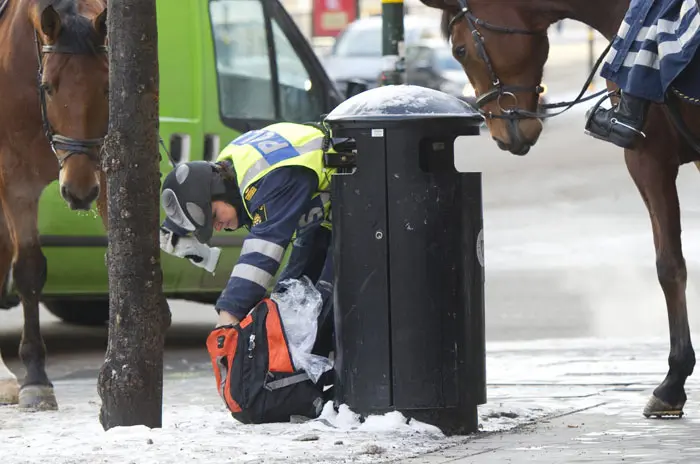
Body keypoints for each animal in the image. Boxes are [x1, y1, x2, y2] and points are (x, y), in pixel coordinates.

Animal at [0, 0, 108, 412]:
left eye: (107, 87)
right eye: (47, 86)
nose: (78, 191)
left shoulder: (103, 166)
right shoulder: (14, 181)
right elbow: (29, 269)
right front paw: (36, 378)